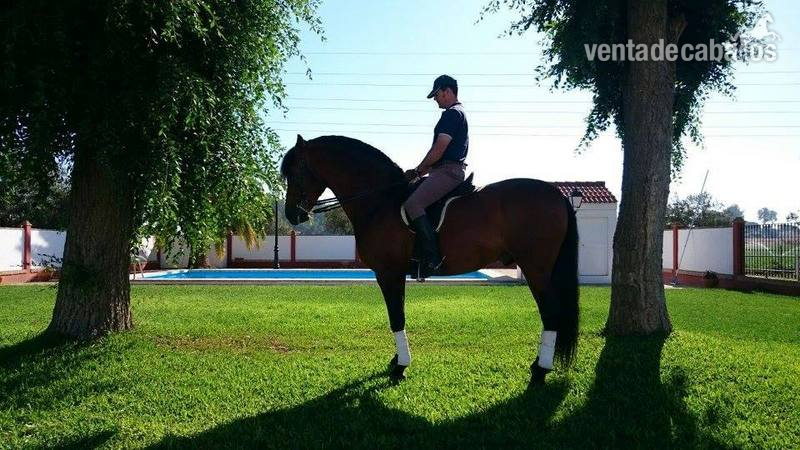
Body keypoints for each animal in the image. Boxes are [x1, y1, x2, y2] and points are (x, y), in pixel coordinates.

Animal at [280, 134, 579, 384]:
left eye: (295, 172)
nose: (292, 215)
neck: (380, 199)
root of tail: (558, 195)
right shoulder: (394, 273)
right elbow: (398, 313)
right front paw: (396, 361)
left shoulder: (388, 272)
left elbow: (396, 317)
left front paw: (401, 366)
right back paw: (538, 366)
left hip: (536, 269)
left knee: (550, 314)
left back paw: (541, 371)